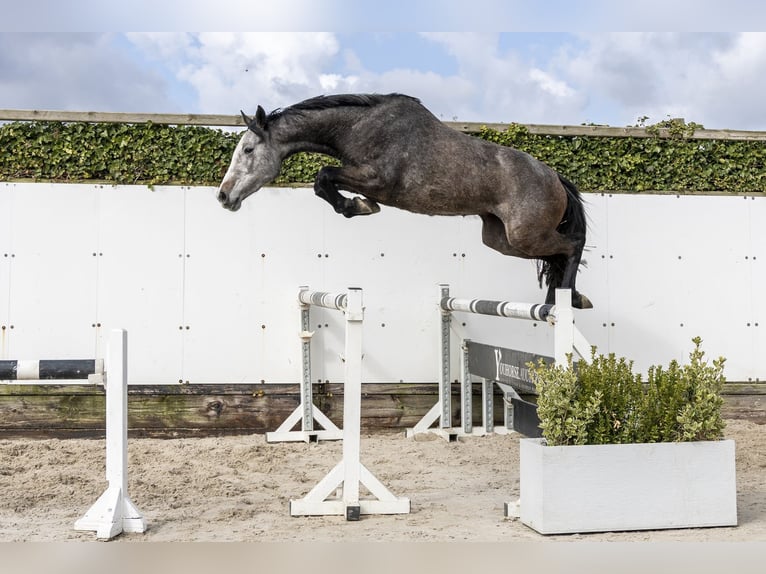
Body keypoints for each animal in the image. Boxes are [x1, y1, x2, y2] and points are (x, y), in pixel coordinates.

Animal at [217, 93, 592, 309]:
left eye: (248, 150)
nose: (223, 196)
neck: (359, 127)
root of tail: (555, 178)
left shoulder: (377, 180)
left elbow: (323, 176)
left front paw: (356, 206)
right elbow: (323, 182)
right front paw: (357, 206)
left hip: (524, 235)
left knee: (572, 245)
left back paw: (566, 300)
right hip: (501, 239)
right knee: (556, 256)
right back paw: (557, 300)